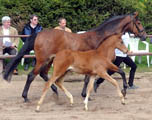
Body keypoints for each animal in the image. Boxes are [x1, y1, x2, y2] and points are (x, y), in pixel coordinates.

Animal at [3, 12, 146, 102]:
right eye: (138, 22)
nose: (144, 36)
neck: (101, 38)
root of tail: (38, 34)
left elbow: (88, 79)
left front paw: (86, 94)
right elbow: (91, 79)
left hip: (50, 60)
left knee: (44, 74)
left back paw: (55, 92)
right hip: (42, 60)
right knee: (32, 75)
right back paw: (25, 97)